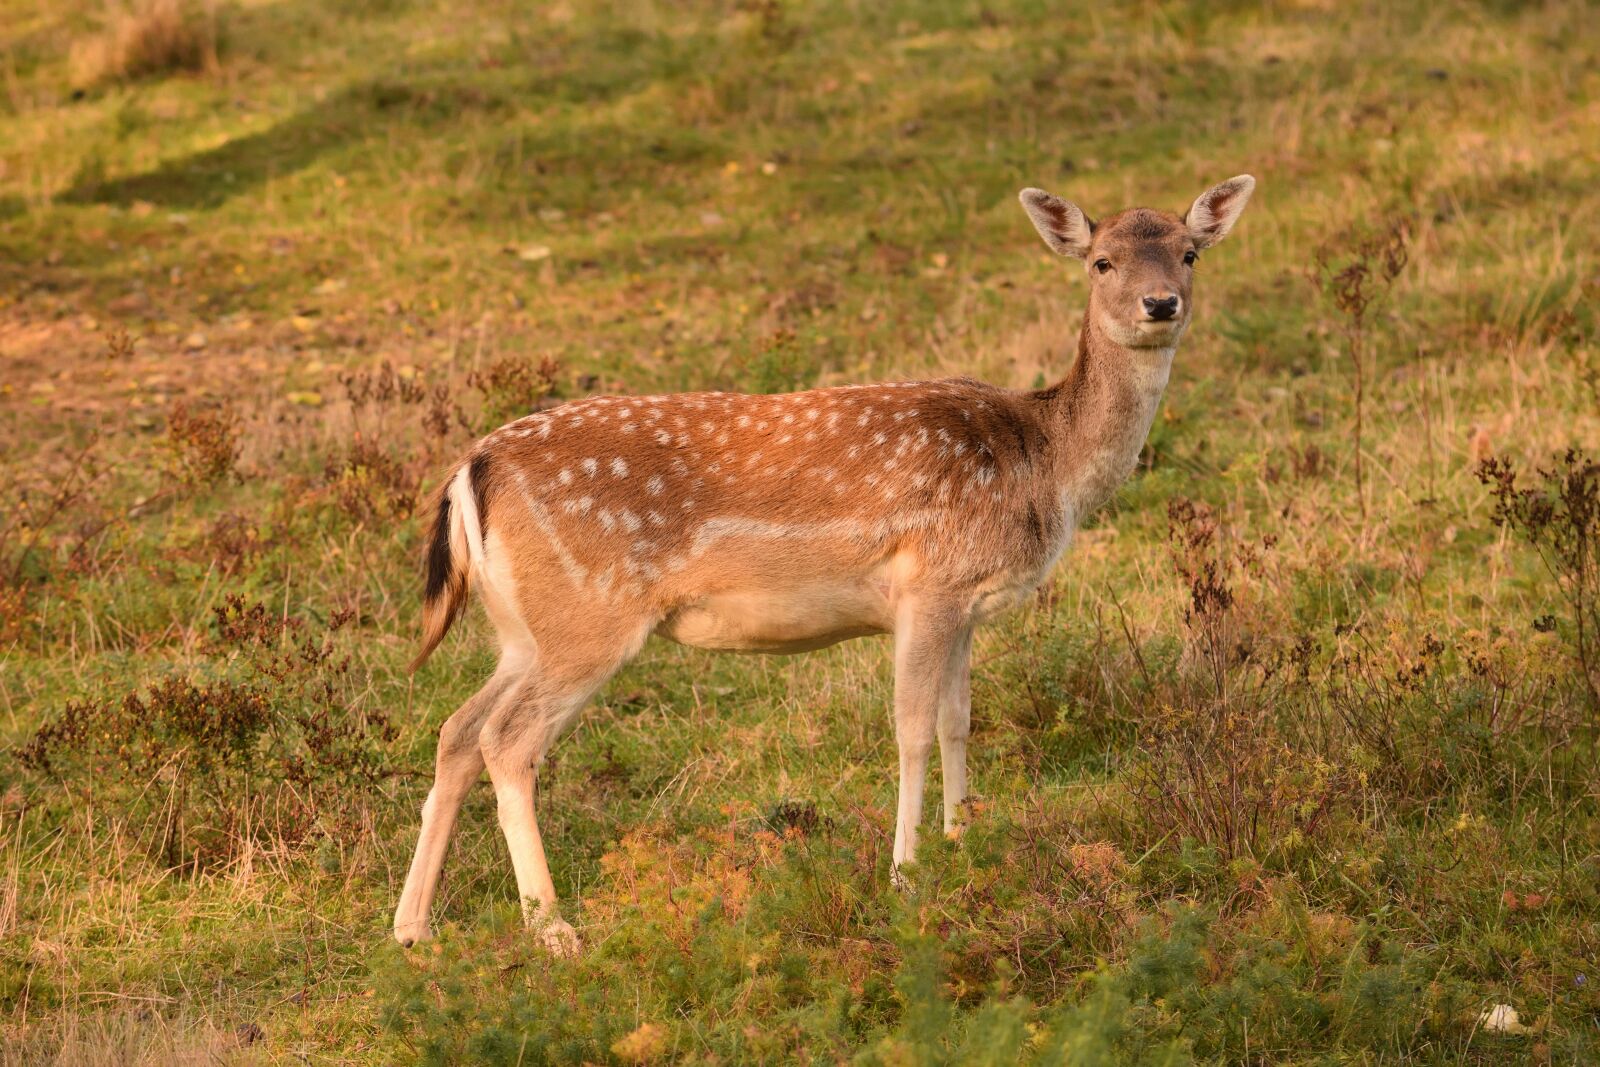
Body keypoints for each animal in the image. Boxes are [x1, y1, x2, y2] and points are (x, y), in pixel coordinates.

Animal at [392, 176, 1256, 954]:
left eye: (1189, 253)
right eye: (1102, 262)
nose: (1160, 304)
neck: (1046, 462)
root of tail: (470, 468)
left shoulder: (966, 604)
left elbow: (958, 719)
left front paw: (963, 842)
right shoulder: (927, 583)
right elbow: (911, 727)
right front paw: (906, 874)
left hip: (525, 626)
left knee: (456, 728)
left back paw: (412, 926)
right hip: (587, 615)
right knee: (508, 739)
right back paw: (552, 927)